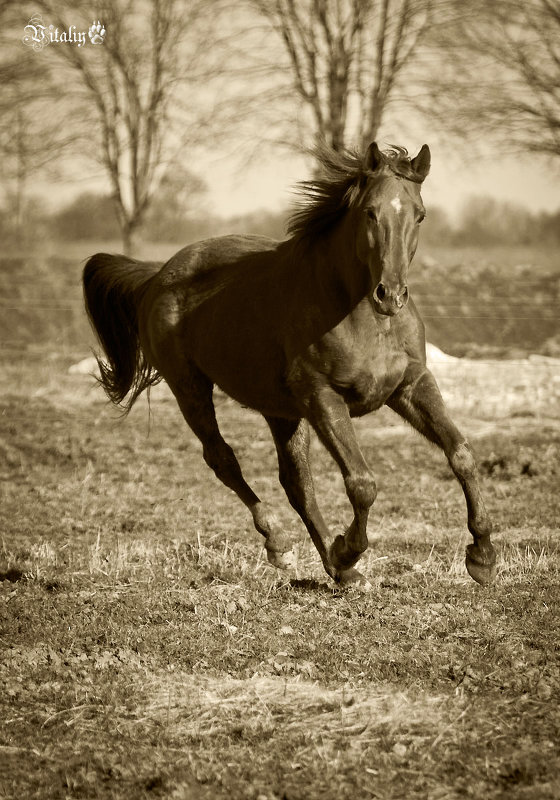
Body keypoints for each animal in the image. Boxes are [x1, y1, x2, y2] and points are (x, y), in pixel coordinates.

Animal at [82, 142, 494, 592]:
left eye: (419, 214)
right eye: (370, 212)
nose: (391, 294)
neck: (359, 312)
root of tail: (157, 274)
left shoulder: (410, 386)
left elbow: (461, 454)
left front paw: (482, 556)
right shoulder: (323, 398)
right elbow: (362, 483)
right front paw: (348, 548)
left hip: (280, 411)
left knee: (296, 483)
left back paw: (338, 569)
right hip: (190, 387)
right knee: (223, 460)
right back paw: (284, 545)